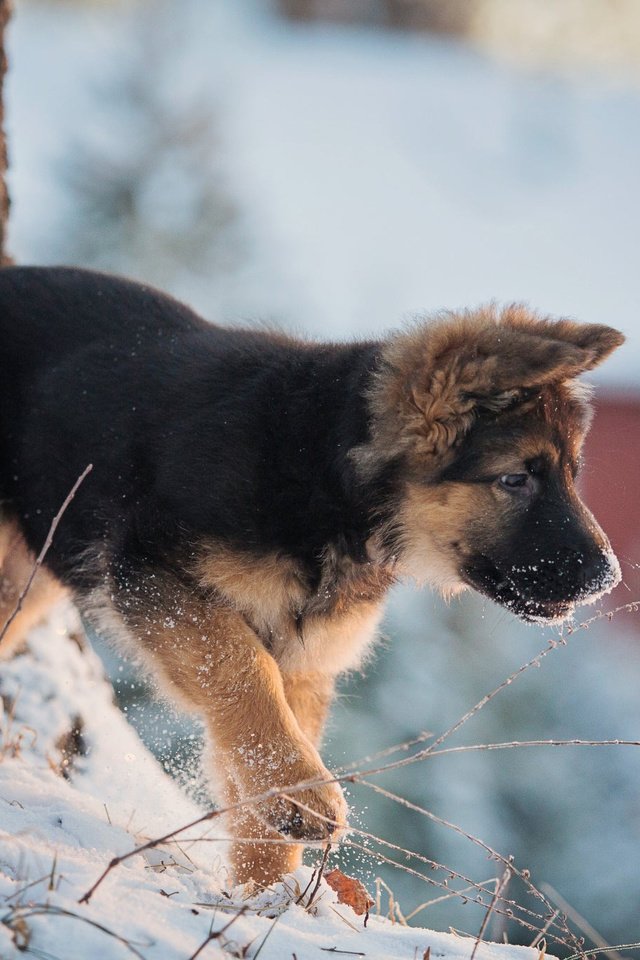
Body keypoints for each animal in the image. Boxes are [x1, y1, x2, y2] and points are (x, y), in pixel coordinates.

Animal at [0, 268, 624, 884]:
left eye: (572, 474)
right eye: (516, 479)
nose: (609, 580)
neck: (323, 475)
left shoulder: (304, 658)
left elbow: (254, 757)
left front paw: (265, 893)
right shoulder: (152, 571)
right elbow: (243, 670)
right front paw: (303, 796)